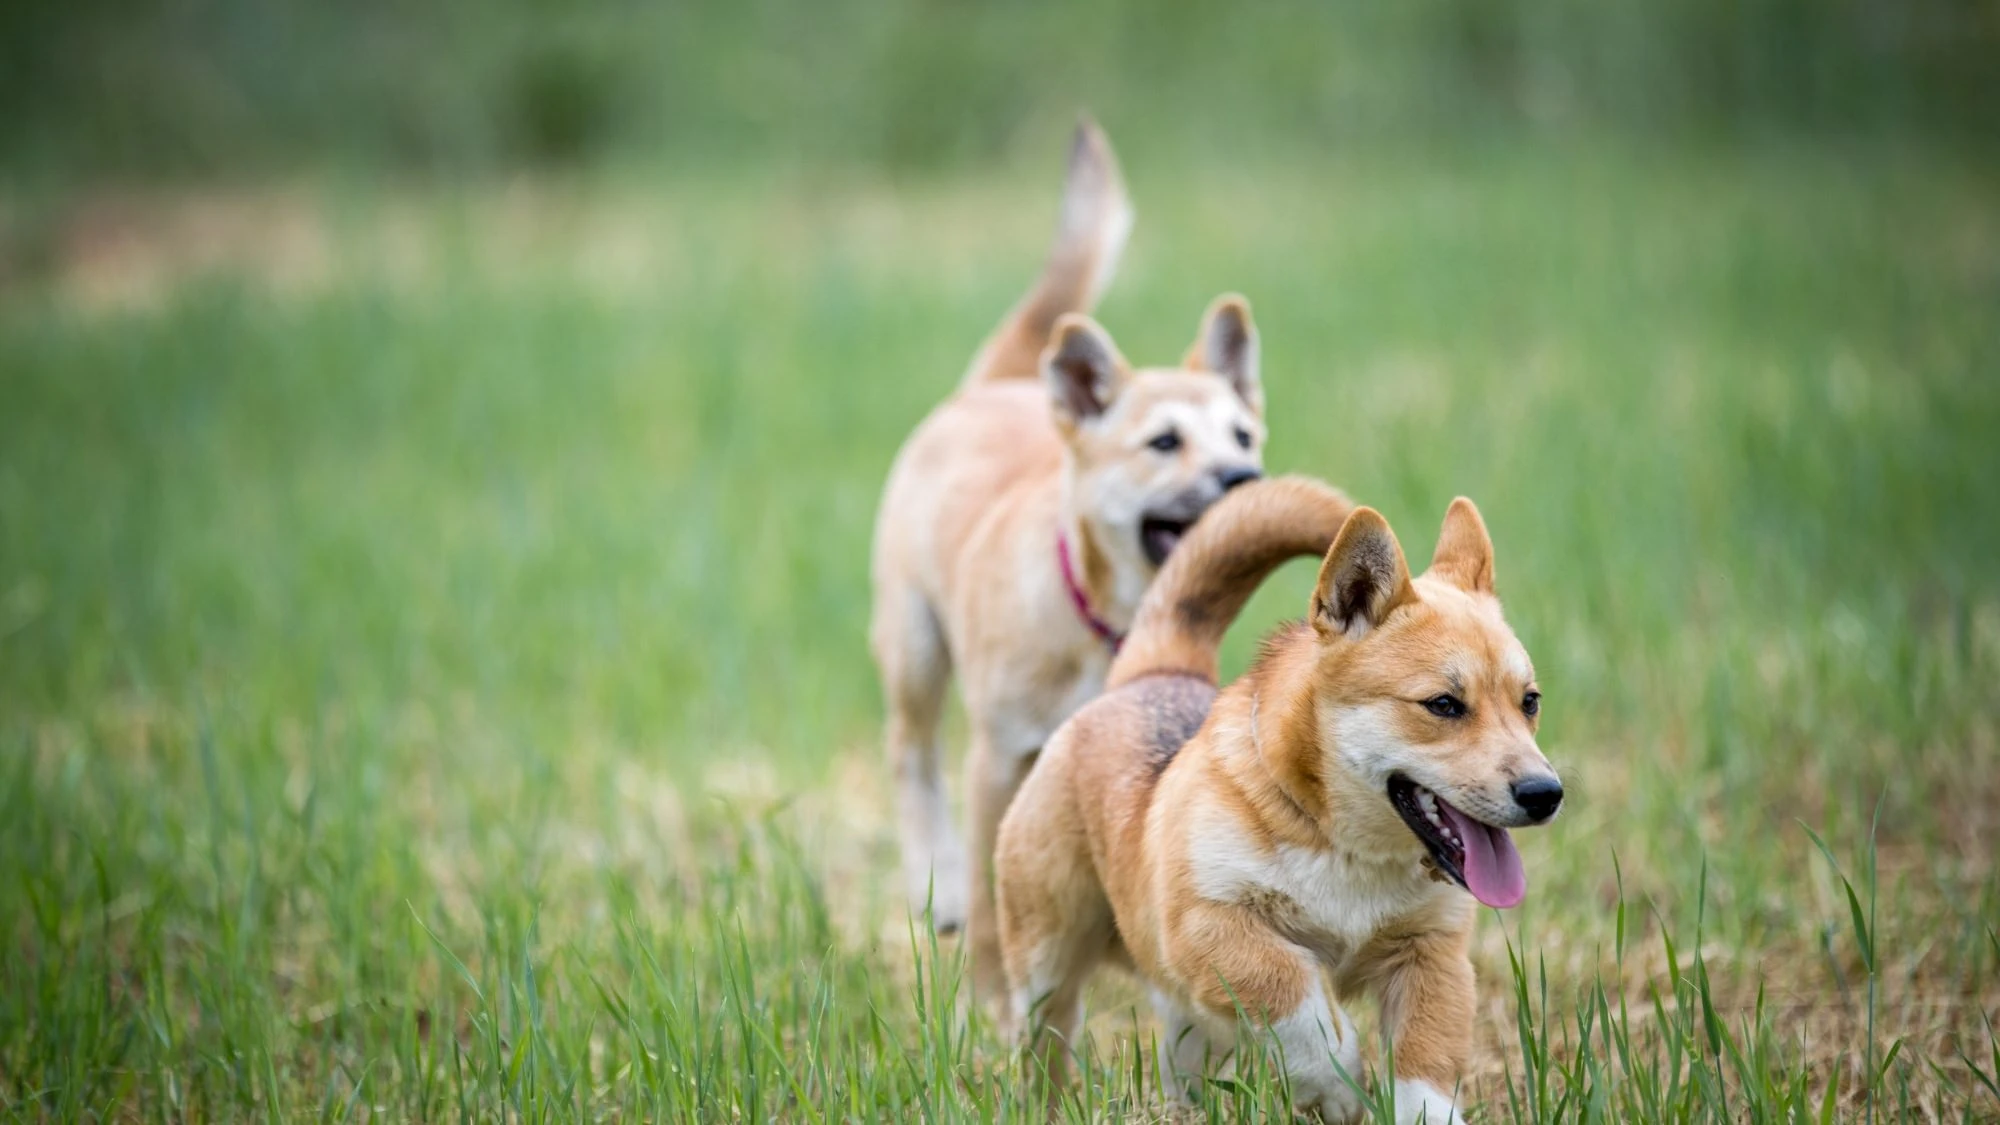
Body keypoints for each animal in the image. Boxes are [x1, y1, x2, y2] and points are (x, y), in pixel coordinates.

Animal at [869, 117, 1268, 1000]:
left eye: (1243, 435)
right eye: (1164, 443)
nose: (1244, 478)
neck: (1102, 622)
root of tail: (989, 389)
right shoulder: (998, 757)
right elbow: (995, 900)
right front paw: (987, 993)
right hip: (914, 648)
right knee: (911, 757)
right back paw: (939, 886)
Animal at [995, 480, 1562, 1123]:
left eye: (1530, 701)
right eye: (1443, 704)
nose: (1546, 794)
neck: (1348, 851)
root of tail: (1154, 671)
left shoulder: (1431, 956)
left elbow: (1426, 1070)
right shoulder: (1213, 928)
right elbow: (1300, 1005)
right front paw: (1338, 1085)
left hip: (1182, 1019)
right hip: (1046, 965)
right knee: (1044, 1042)